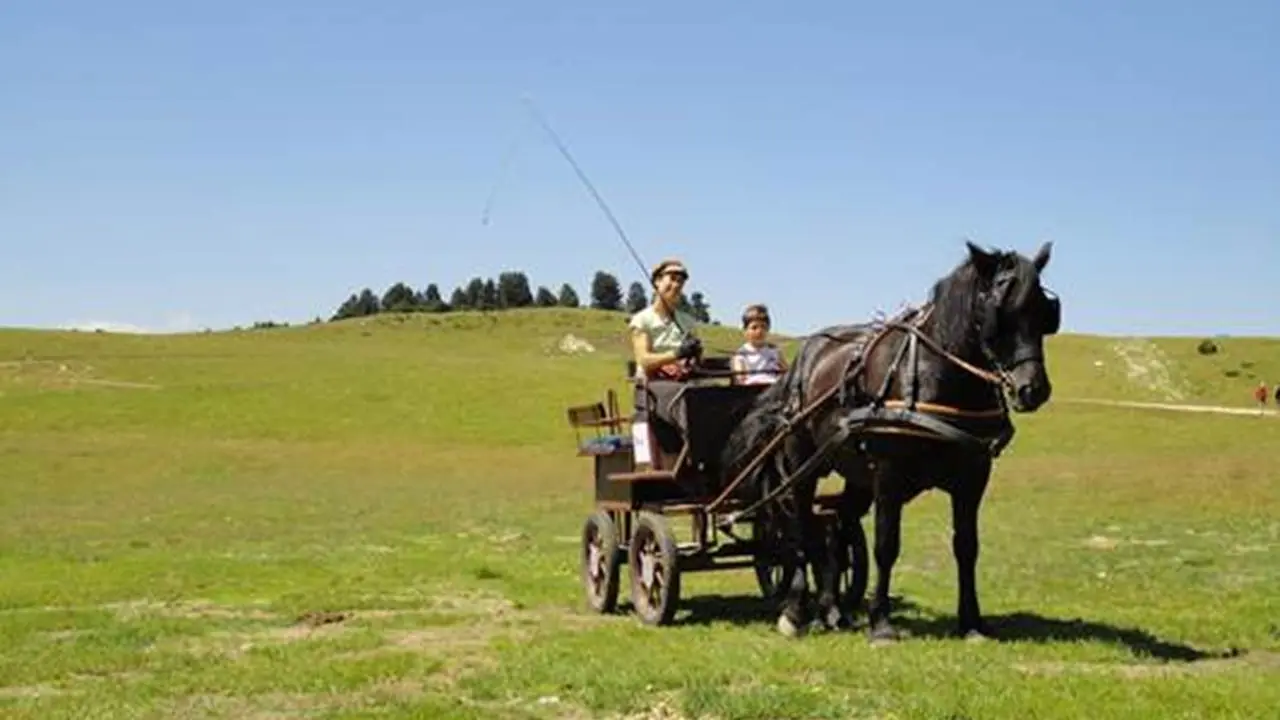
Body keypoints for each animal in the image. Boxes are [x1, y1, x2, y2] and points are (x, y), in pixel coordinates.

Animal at [721, 240, 1059, 638]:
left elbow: (966, 547)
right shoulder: (888, 474)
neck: (935, 376)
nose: (1033, 389)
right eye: (999, 313)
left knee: (835, 533)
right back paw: (796, 611)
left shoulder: (972, 478)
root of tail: (800, 363)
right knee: (800, 529)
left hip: (854, 474)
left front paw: (972, 622)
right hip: (802, 467)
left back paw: (832, 609)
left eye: (1045, 313)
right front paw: (881, 622)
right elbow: (887, 546)